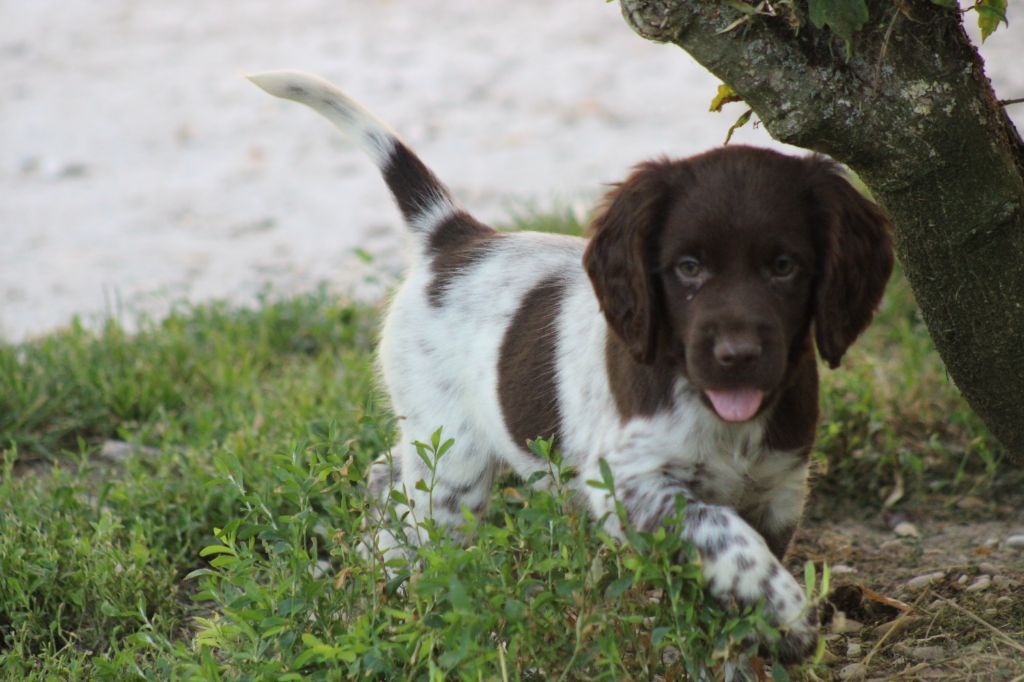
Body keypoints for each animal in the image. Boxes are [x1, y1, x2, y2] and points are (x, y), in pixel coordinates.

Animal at [250, 70, 894, 663]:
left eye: (784, 267)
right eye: (687, 268)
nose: (736, 357)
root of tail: (453, 236)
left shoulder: (779, 489)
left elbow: (738, 564)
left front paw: (757, 636)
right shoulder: (632, 485)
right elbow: (727, 537)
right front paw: (791, 614)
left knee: (387, 474)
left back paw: (375, 569)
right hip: (453, 463)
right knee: (416, 507)